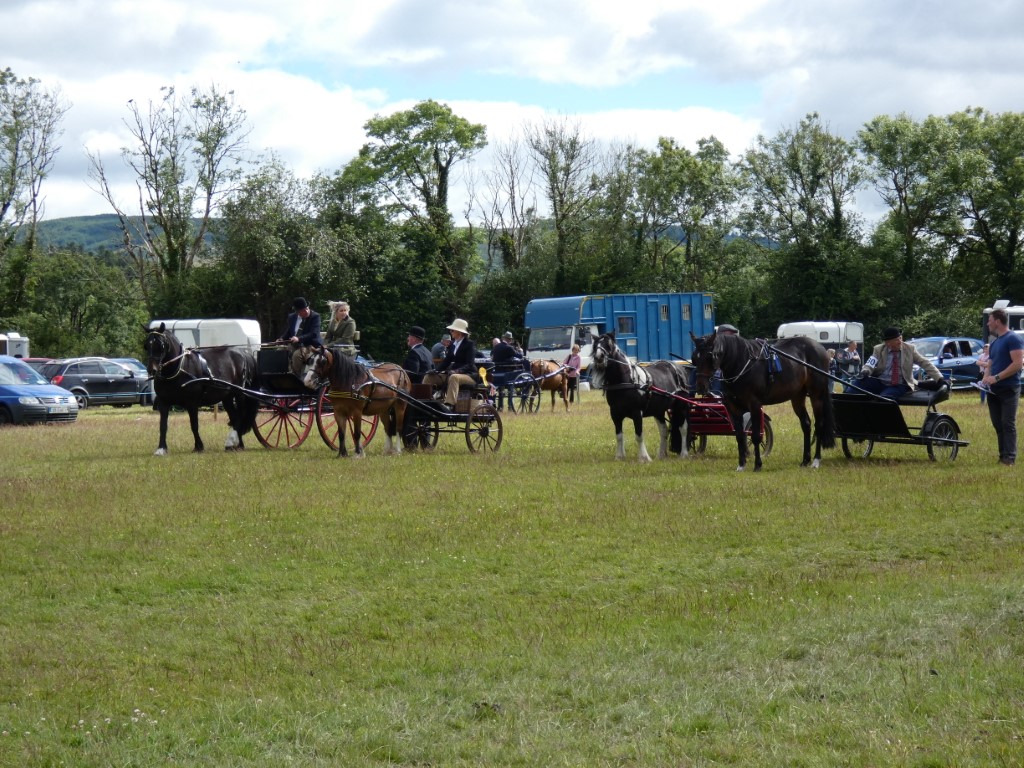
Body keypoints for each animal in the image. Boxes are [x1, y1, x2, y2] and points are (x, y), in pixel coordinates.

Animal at [143, 323, 260, 456]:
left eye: (161, 345)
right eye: (146, 345)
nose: (152, 370)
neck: (178, 369)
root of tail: (243, 353)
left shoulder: (192, 403)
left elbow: (194, 425)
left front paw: (199, 446)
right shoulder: (163, 402)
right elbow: (163, 426)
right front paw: (161, 448)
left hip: (239, 393)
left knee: (240, 415)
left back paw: (236, 443)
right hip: (227, 397)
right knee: (234, 417)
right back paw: (235, 444)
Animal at [589, 332, 690, 462]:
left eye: (609, 345)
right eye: (596, 345)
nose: (599, 357)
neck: (626, 381)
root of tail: (680, 368)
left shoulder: (637, 413)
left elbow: (639, 435)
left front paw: (644, 458)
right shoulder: (615, 414)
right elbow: (619, 436)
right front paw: (619, 456)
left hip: (680, 407)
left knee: (683, 428)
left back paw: (684, 454)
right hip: (658, 411)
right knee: (664, 431)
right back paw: (661, 454)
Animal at [690, 331, 836, 471]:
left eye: (710, 357)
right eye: (695, 357)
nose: (701, 387)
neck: (741, 363)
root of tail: (820, 347)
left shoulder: (754, 405)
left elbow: (755, 436)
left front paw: (757, 465)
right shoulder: (733, 407)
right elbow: (739, 436)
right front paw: (741, 465)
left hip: (816, 396)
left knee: (819, 425)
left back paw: (816, 461)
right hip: (797, 396)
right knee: (806, 424)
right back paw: (805, 460)